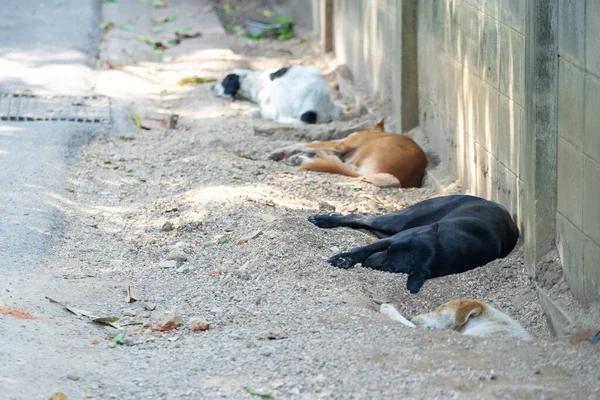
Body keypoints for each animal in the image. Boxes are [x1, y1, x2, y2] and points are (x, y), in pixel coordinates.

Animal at [211, 65, 342, 124]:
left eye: (224, 82)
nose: (211, 87)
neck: (254, 79)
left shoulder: (264, 93)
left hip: (278, 88)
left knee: (274, 115)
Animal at [268, 119, 426, 188]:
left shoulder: (341, 145)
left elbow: (308, 143)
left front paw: (280, 151)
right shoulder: (340, 146)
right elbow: (318, 146)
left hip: (374, 146)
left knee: (344, 166)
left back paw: (298, 159)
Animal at [308, 195, 516, 292]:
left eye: (391, 268)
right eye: (389, 249)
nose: (368, 262)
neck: (445, 248)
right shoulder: (392, 239)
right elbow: (364, 248)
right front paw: (345, 258)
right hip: (399, 222)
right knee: (362, 217)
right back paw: (323, 219)